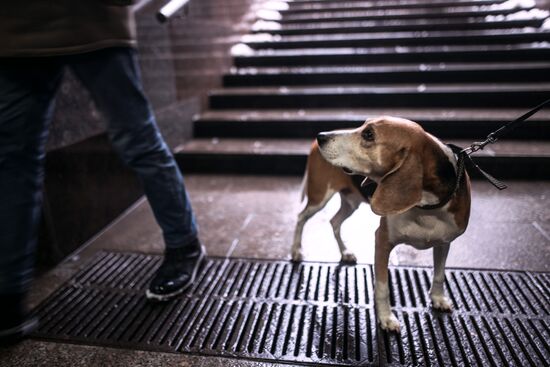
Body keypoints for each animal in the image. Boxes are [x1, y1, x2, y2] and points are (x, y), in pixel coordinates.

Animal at [294, 116, 474, 332]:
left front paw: (438, 299)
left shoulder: (444, 242)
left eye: (368, 134)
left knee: (334, 221)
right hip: (319, 197)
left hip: (351, 201)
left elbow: (439, 275)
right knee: (301, 217)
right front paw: (386, 318)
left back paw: (345, 252)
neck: (426, 208)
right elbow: (382, 288)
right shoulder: (382, 241)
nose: (321, 136)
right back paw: (296, 251)